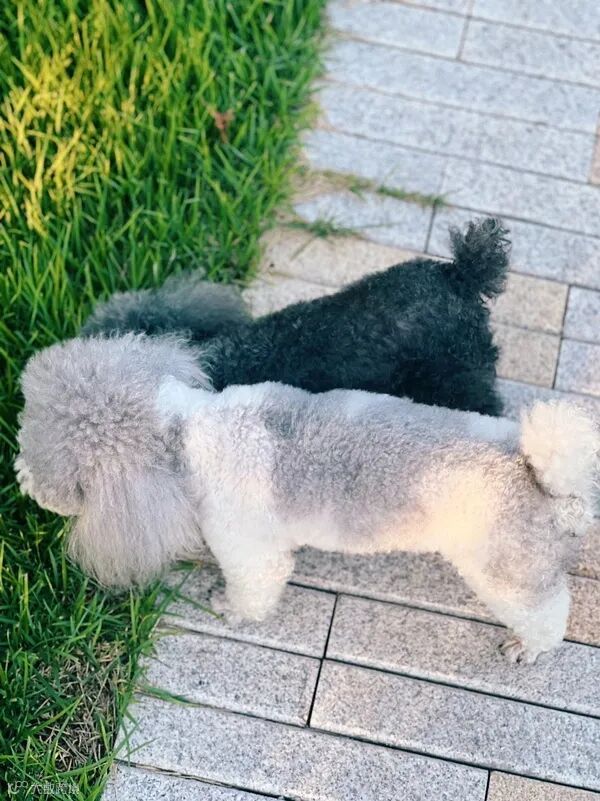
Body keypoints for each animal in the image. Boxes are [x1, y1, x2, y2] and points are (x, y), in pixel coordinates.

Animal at [16, 334, 598, 664]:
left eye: (44, 461)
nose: (18, 476)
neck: (185, 428)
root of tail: (537, 469)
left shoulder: (249, 549)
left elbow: (253, 589)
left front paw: (231, 608)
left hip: (505, 570)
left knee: (548, 611)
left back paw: (529, 647)